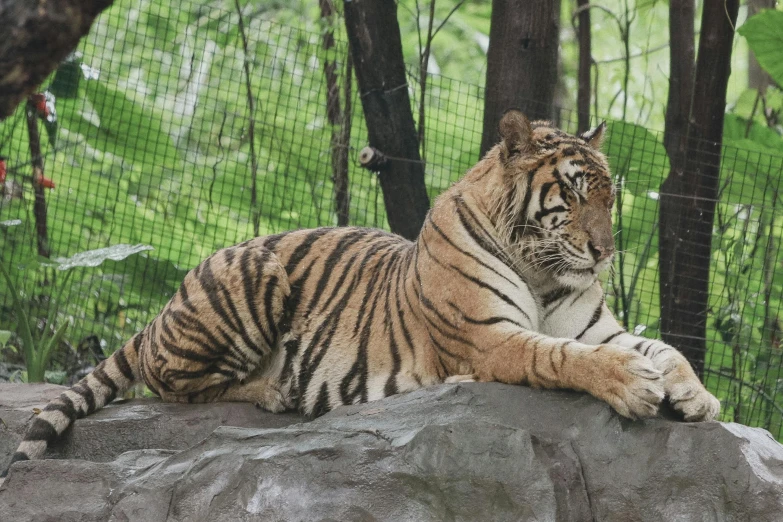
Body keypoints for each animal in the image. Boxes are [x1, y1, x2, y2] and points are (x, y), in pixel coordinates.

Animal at [1, 109, 724, 480]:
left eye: (609, 198)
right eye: (571, 196)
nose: (604, 253)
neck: (546, 274)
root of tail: (166, 304)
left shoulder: (598, 327)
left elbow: (663, 348)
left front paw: (696, 396)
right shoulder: (487, 338)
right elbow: (557, 357)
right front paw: (631, 386)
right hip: (251, 279)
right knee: (168, 381)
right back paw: (273, 389)